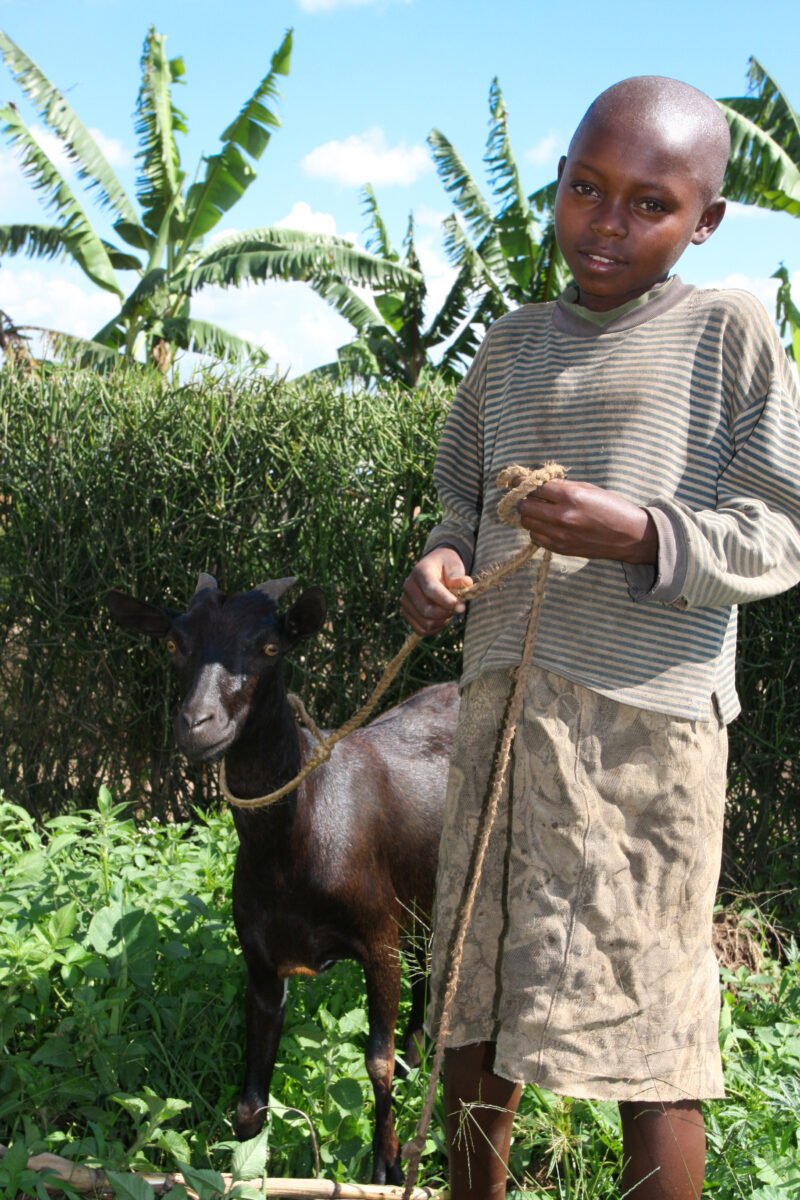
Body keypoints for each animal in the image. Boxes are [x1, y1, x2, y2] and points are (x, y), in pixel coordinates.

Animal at [108, 573, 458, 1185]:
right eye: (175, 642)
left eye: (271, 647)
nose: (197, 726)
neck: (296, 841)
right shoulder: (262, 959)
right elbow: (251, 1105)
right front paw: (245, 1173)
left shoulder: (377, 939)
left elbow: (375, 1062)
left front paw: (387, 1165)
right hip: (418, 892)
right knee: (425, 968)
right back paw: (417, 1055)